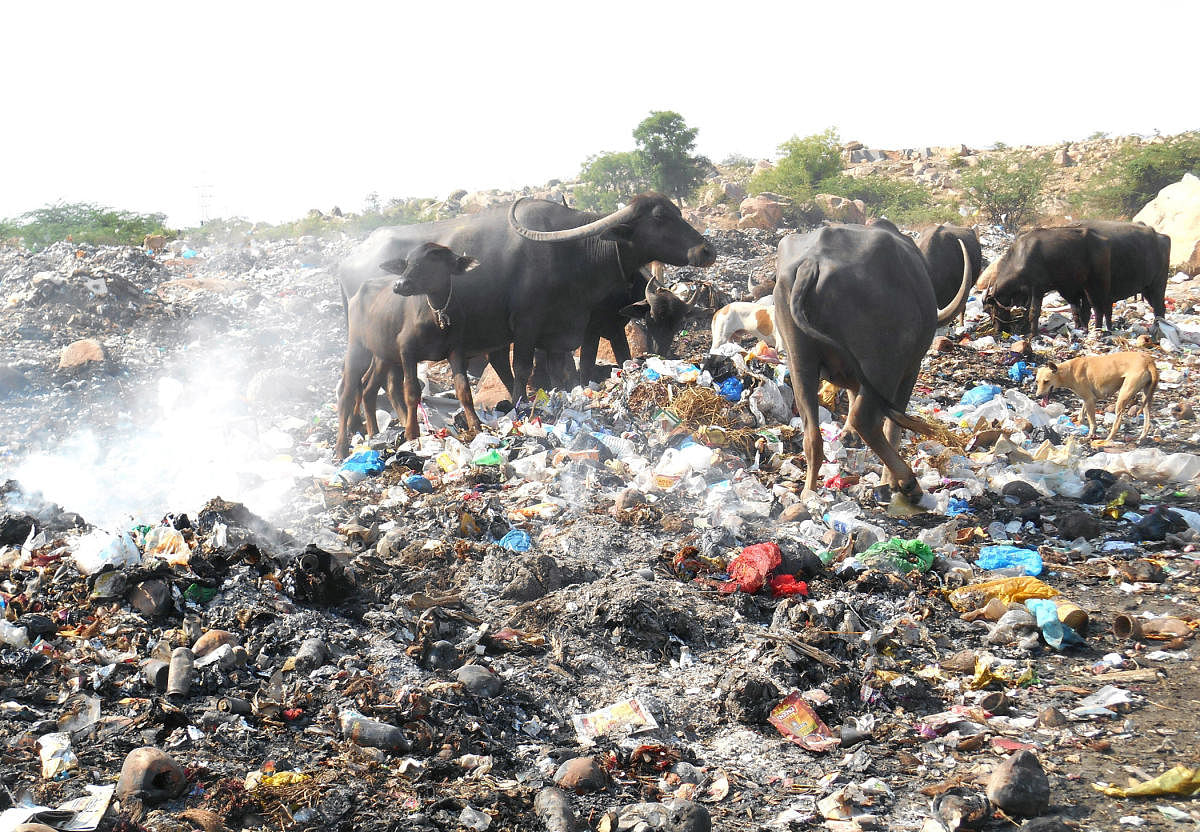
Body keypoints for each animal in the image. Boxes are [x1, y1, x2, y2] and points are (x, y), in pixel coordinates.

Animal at [336, 243, 480, 458]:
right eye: (408, 262)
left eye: (433, 260)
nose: (399, 285)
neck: (436, 315)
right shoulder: (407, 351)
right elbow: (412, 392)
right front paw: (412, 433)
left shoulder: (456, 351)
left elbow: (464, 389)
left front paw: (476, 425)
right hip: (357, 348)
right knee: (347, 393)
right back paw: (341, 447)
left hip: (383, 355)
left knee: (370, 389)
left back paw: (375, 433)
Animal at [772, 220, 969, 497]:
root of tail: (812, 264)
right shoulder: (909, 370)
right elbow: (893, 425)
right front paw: (891, 480)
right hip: (883, 367)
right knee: (864, 420)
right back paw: (908, 482)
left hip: (800, 360)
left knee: (812, 435)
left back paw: (808, 492)